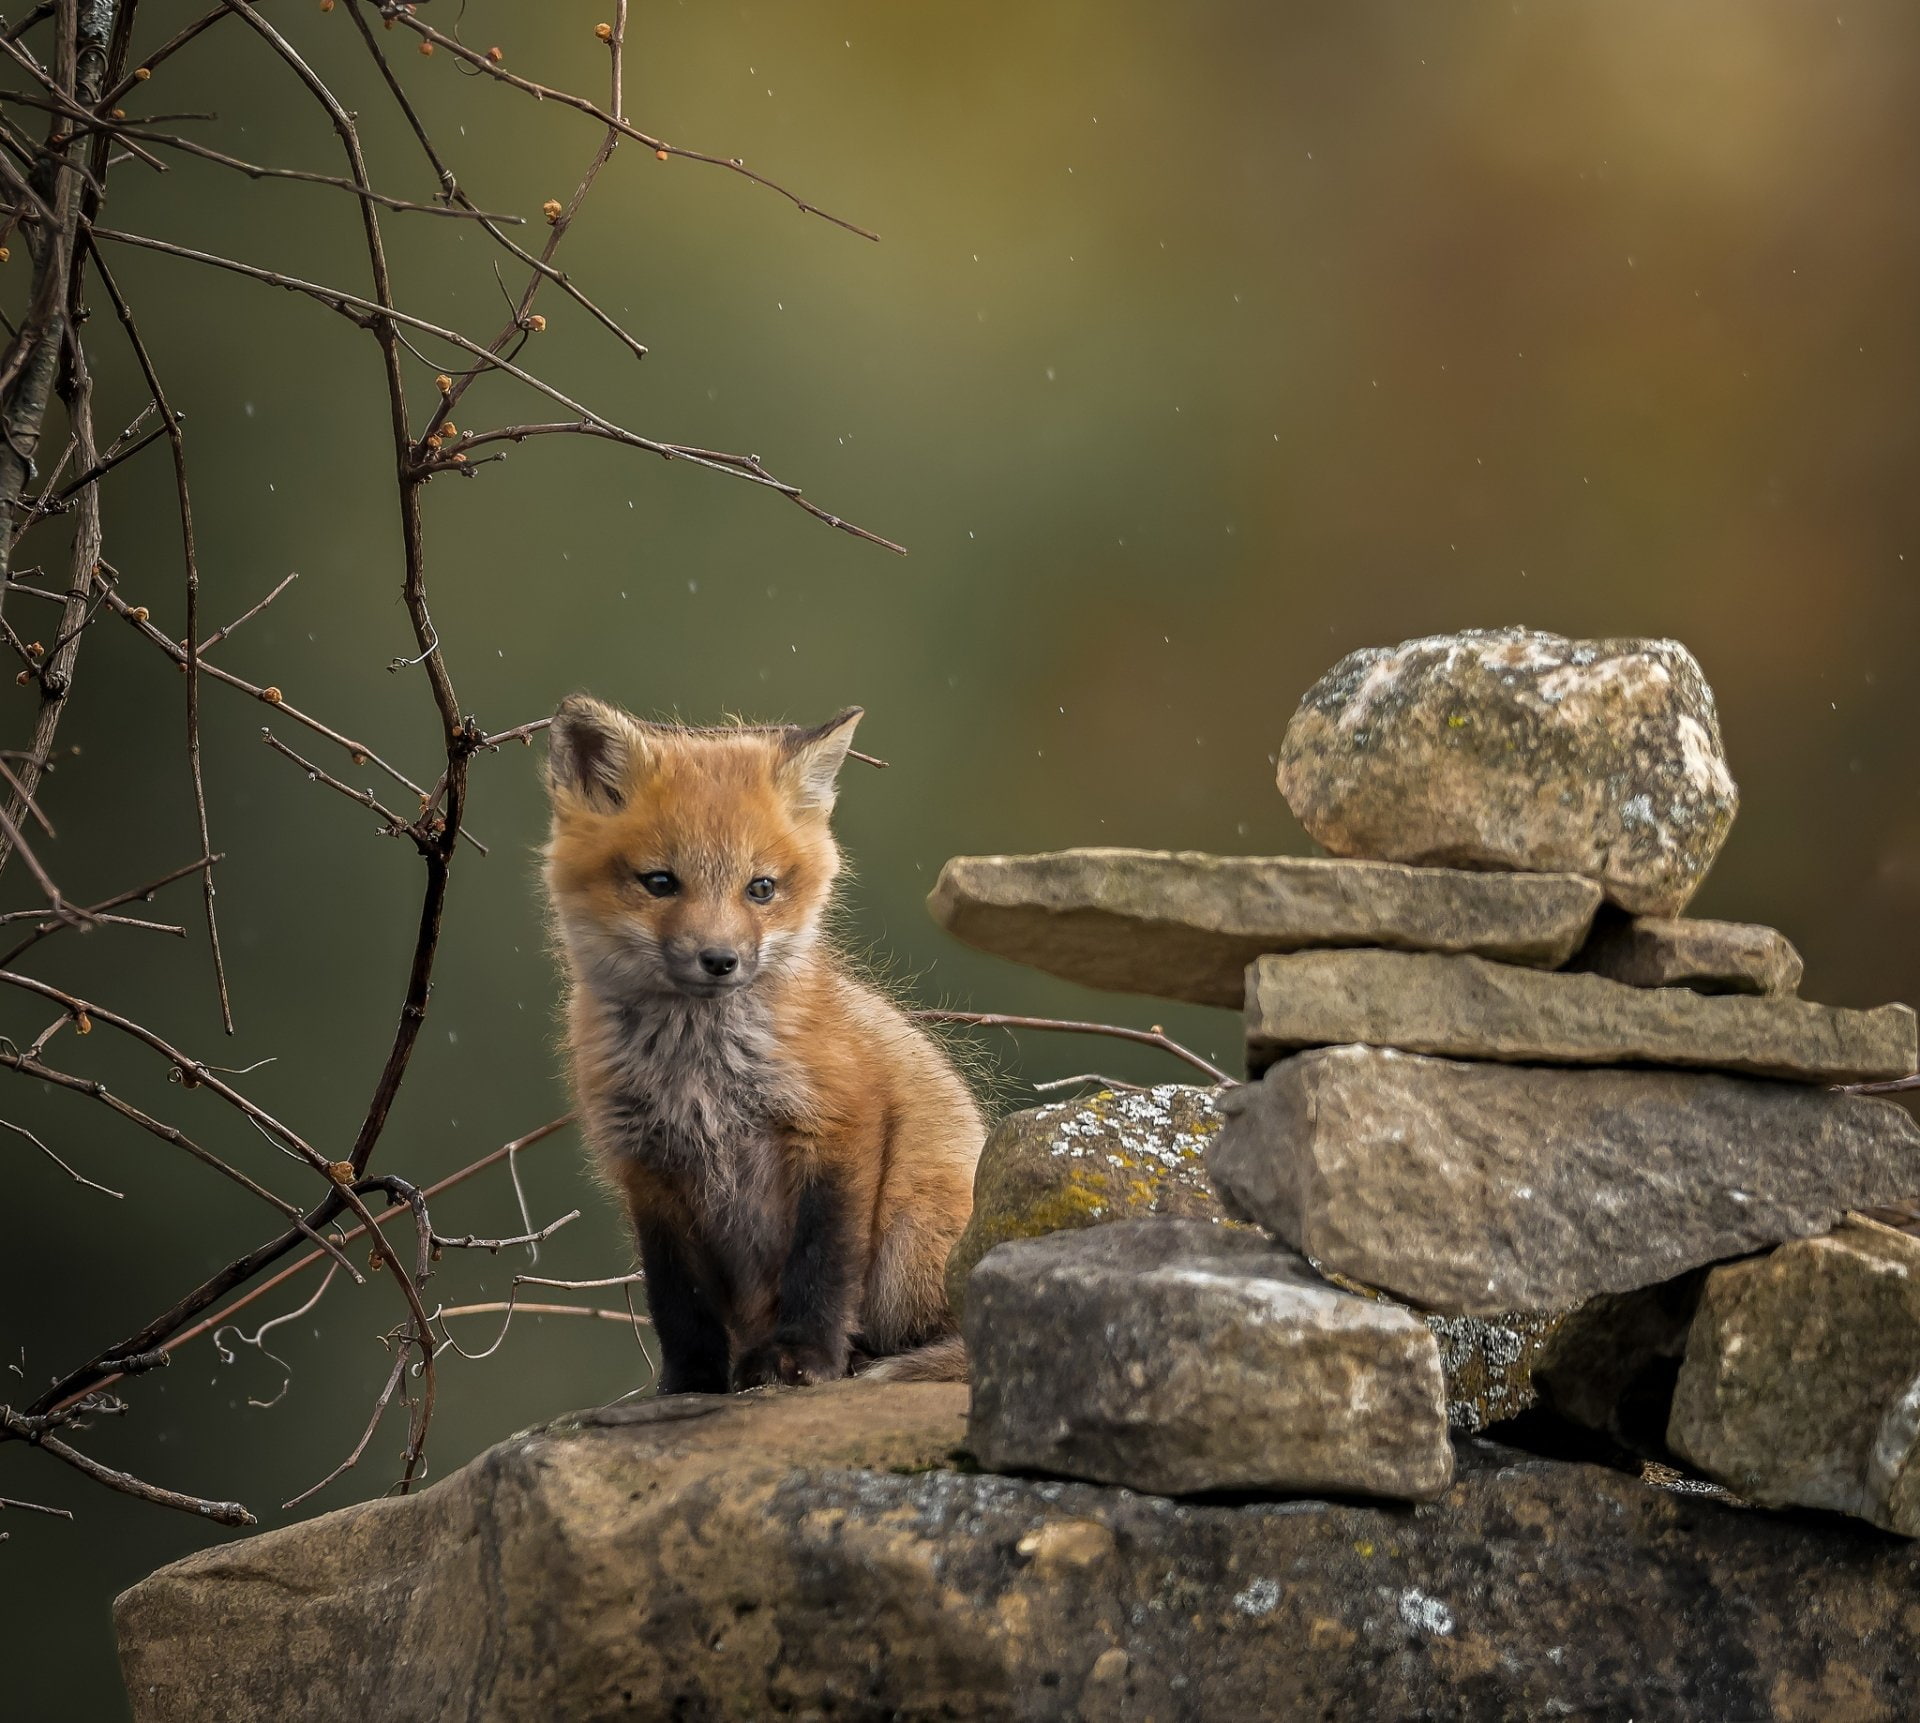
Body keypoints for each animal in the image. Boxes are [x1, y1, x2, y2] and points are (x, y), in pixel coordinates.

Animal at [541, 696, 985, 1393]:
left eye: (761, 888)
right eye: (660, 882)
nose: (720, 960)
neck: (699, 1075)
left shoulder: (837, 1122)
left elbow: (821, 1263)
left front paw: (805, 1357)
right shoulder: (647, 1168)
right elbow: (679, 1302)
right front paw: (690, 1384)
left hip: (908, 1239)